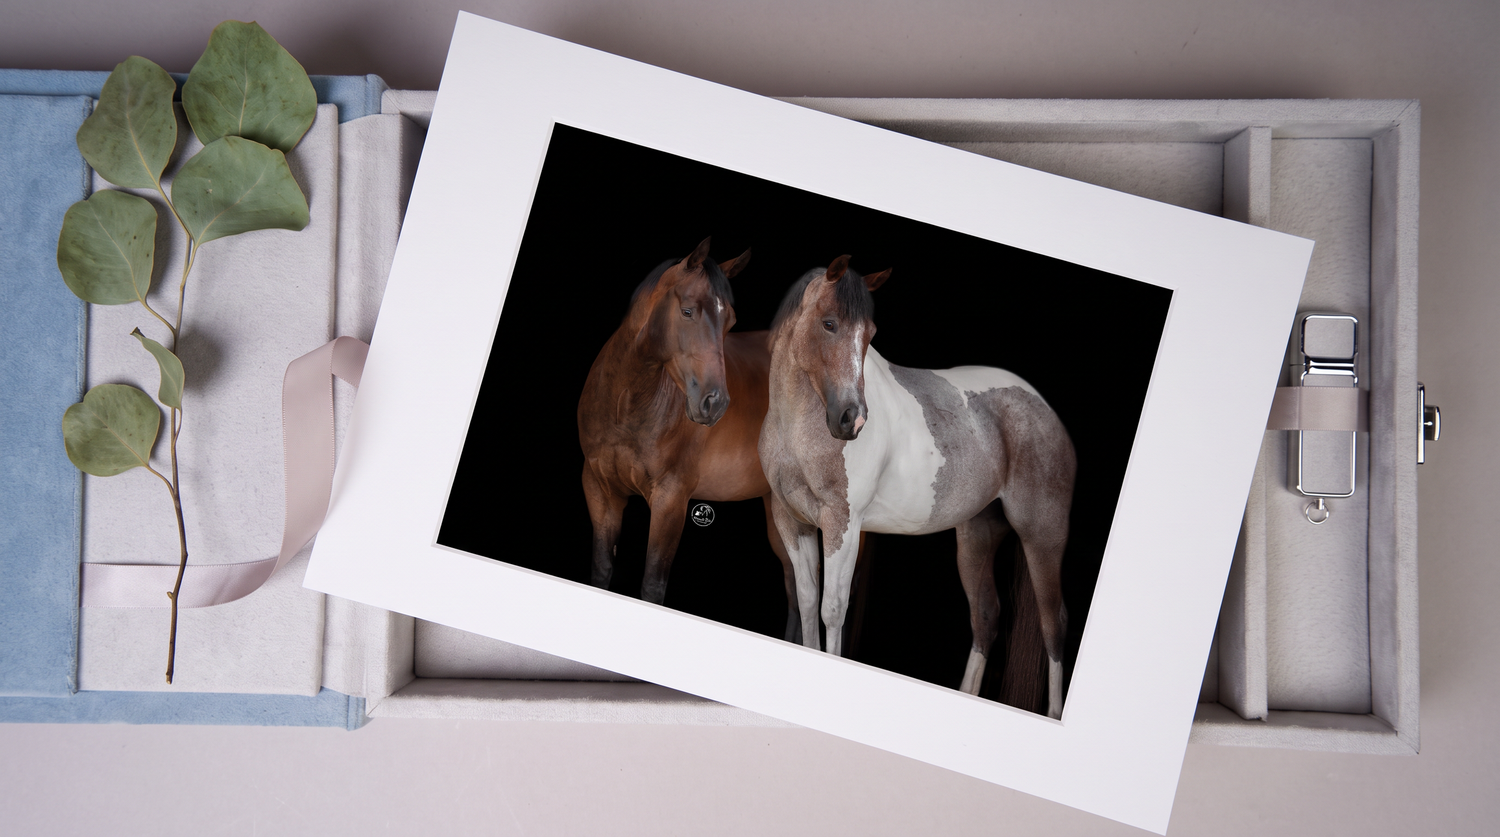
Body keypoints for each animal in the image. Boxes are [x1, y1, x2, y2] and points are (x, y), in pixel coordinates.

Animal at [577, 237, 801, 641]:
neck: (626, 405)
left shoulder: (672, 498)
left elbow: (652, 585)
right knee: (796, 587)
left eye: (730, 322)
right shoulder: (600, 489)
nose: (716, 403)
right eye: (687, 311)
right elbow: (601, 571)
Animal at [758, 255, 1076, 718]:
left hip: (1042, 536)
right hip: (977, 533)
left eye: (871, 334)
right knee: (986, 616)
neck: (798, 428)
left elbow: (833, 609)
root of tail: (1045, 411)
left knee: (1054, 623)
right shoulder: (791, 522)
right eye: (829, 323)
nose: (853, 419)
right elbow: (806, 601)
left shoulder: (843, 525)